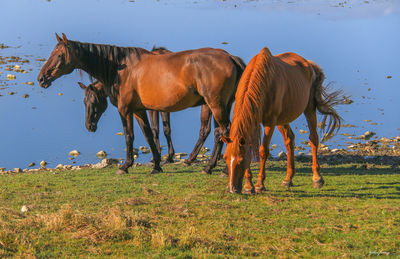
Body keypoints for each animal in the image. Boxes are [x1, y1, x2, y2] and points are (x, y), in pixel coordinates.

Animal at [38, 33, 244, 176]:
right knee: (218, 133)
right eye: (84, 101)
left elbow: (129, 136)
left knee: (223, 132)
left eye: (59, 55)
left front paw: (125, 166)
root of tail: (230, 57)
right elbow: (149, 135)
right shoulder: (139, 110)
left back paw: (218, 169)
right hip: (218, 106)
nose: (41, 78)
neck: (120, 69)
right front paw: (157, 165)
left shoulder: (125, 110)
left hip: (215, 105)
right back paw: (211, 165)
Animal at [220, 47, 342, 195]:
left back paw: (317, 178)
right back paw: (288, 179)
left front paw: (259, 185)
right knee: (290, 140)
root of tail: (310, 65)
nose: (232, 189)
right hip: (283, 119)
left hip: (309, 109)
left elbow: (263, 151)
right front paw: (249, 186)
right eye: (225, 158)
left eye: (240, 160)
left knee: (313, 139)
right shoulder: (253, 121)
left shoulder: (270, 122)